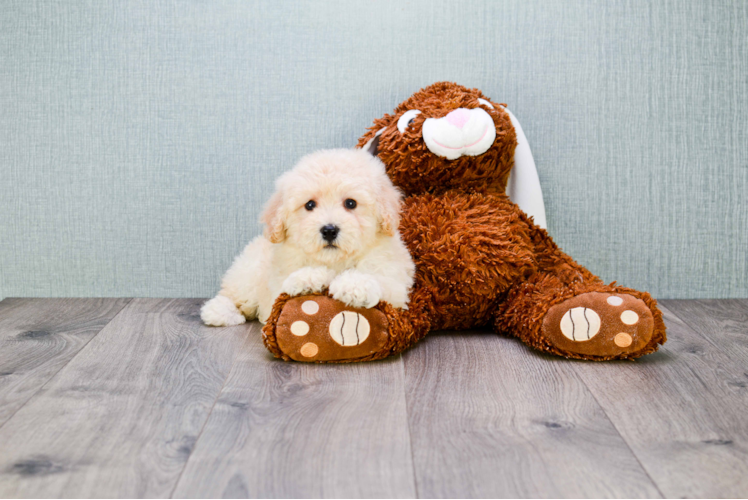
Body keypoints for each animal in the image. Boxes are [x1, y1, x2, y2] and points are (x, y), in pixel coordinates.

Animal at [202, 147, 418, 328]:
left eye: (350, 203)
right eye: (310, 205)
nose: (329, 230)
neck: (334, 262)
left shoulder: (396, 283)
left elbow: (380, 280)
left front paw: (354, 286)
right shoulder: (275, 288)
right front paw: (308, 279)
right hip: (249, 272)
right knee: (233, 295)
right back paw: (218, 311)